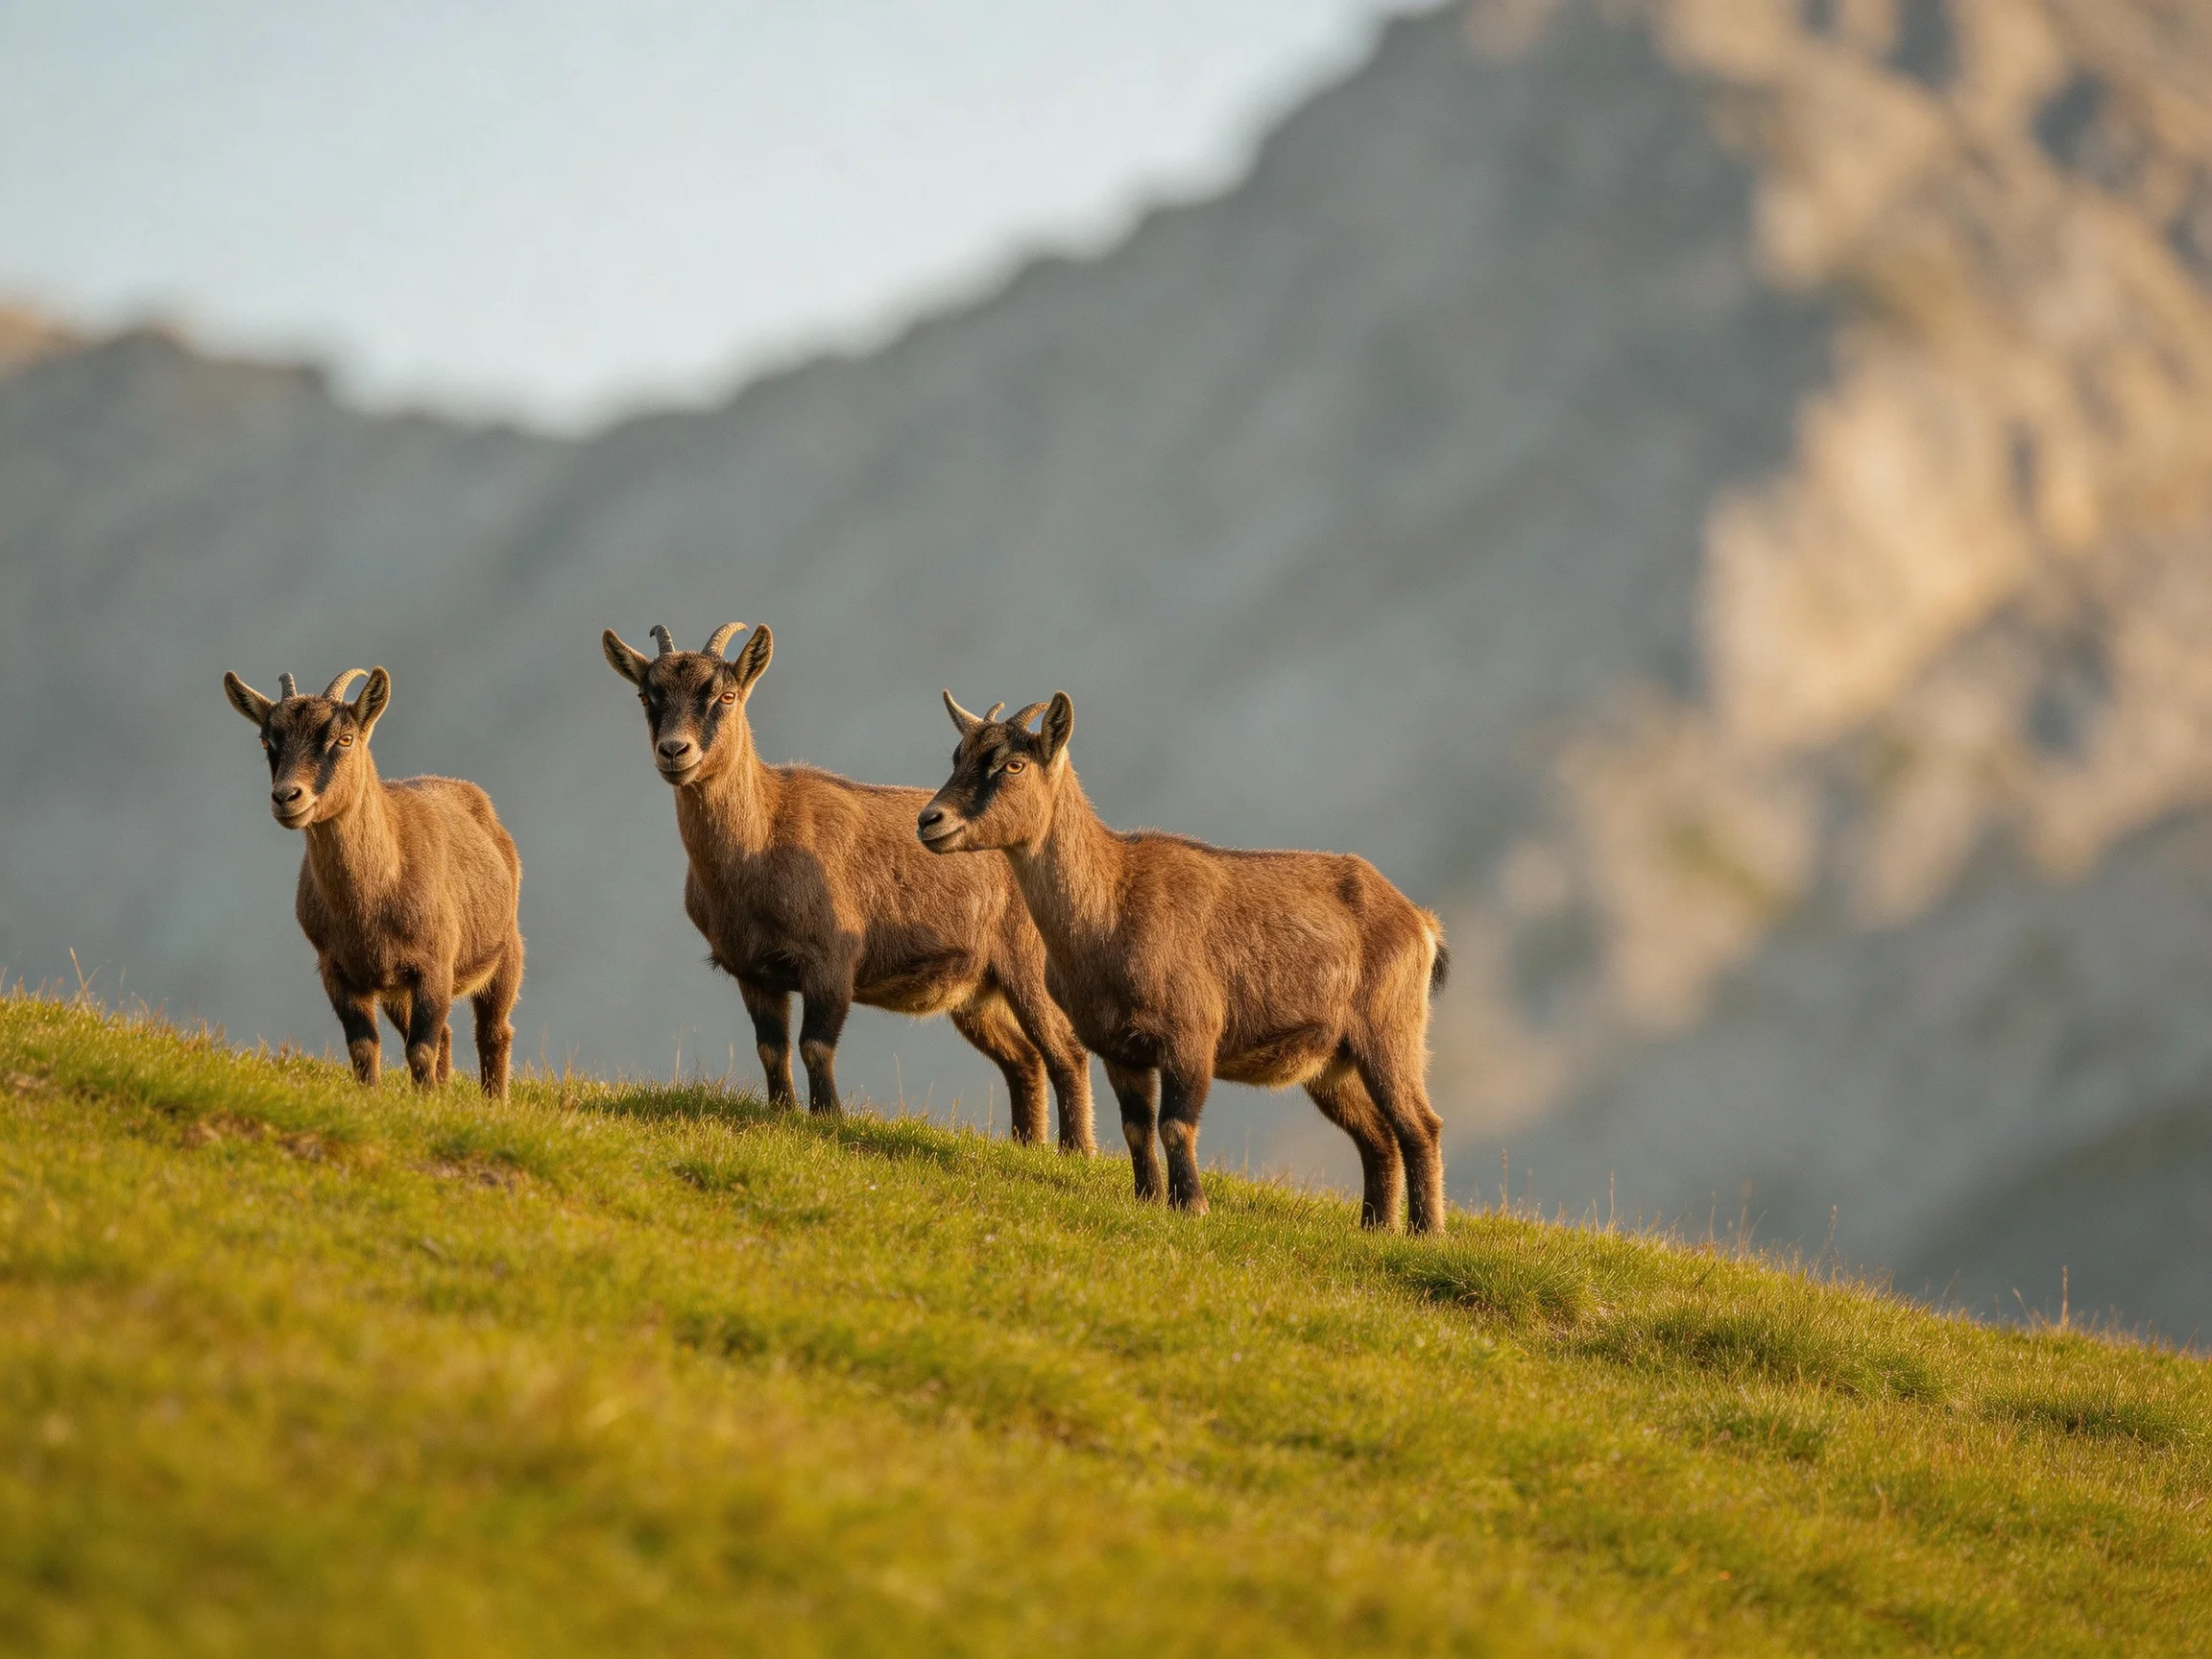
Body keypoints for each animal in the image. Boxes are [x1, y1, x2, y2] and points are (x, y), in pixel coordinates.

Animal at [221, 666, 525, 1098]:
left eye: (344, 738)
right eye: (267, 740)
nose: (286, 797)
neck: (372, 898)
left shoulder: (435, 967)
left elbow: (420, 1049)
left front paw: (425, 1103)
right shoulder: (338, 971)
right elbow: (364, 1047)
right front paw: (377, 1096)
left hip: (505, 954)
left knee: (494, 1032)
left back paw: (492, 1101)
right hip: (395, 991)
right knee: (447, 1036)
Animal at [601, 621, 1096, 1150]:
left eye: (727, 695)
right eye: (646, 694)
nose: (675, 751)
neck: (761, 841)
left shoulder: (831, 962)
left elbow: (815, 1046)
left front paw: (829, 1118)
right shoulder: (753, 972)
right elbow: (771, 1048)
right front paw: (781, 1113)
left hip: (1028, 968)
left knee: (1065, 1051)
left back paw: (1073, 1153)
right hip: (976, 993)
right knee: (1024, 1058)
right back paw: (1028, 1144)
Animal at [917, 692, 1449, 1231]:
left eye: (1013, 764)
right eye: (958, 757)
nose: (930, 820)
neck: (1110, 905)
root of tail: (1420, 924)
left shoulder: (1190, 1036)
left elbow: (1175, 1124)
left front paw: (1190, 1204)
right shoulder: (1119, 1048)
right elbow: (1136, 1126)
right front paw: (1147, 1198)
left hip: (1388, 1033)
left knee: (1419, 1125)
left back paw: (1424, 1233)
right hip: (1331, 1064)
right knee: (1377, 1136)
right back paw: (1376, 1227)